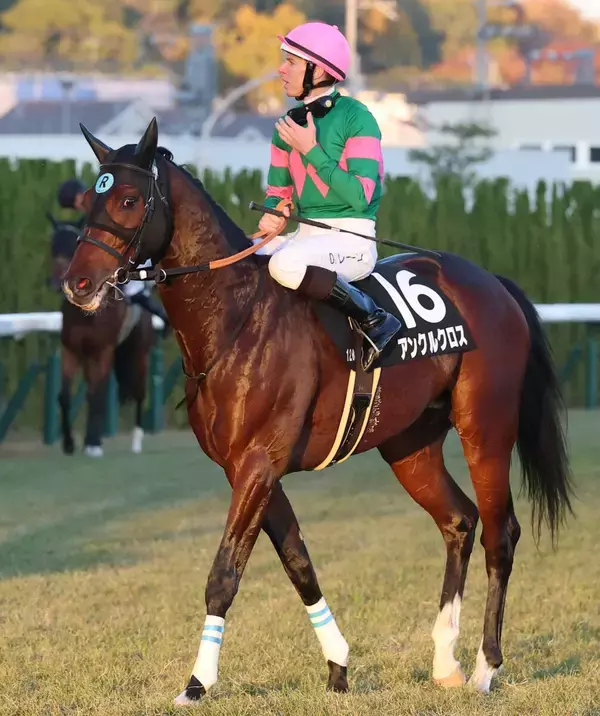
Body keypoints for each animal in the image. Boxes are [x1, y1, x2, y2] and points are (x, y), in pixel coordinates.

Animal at [49, 216, 155, 456]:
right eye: (53, 246)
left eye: (71, 246)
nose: (57, 282)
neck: (84, 316)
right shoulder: (71, 350)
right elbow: (64, 396)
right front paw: (69, 442)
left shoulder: (103, 351)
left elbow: (96, 395)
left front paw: (93, 442)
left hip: (138, 351)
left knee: (138, 391)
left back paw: (136, 440)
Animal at [61, 118, 574, 703]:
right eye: (89, 200)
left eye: (127, 199)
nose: (77, 285)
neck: (236, 318)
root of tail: (494, 283)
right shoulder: (248, 469)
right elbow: (298, 564)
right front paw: (338, 666)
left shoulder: (259, 464)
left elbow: (224, 576)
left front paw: (197, 683)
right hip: (409, 445)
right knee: (459, 521)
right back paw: (446, 661)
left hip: (485, 428)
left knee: (499, 532)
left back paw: (488, 666)